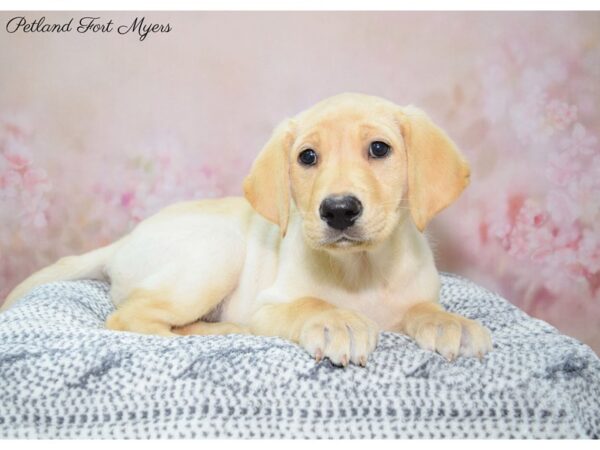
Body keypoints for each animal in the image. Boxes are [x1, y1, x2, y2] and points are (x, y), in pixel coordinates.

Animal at [2, 94, 492, 366]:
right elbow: (310, 304)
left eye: (379, 149)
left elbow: (424, 309)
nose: (337, 210)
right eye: (307, 157)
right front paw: (336, 321)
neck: (361, 269)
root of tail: (123, 241)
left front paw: (451, 323)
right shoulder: (269, 305)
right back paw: (222, 332)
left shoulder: (419, 294)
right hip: (215, 253)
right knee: (131, 317)